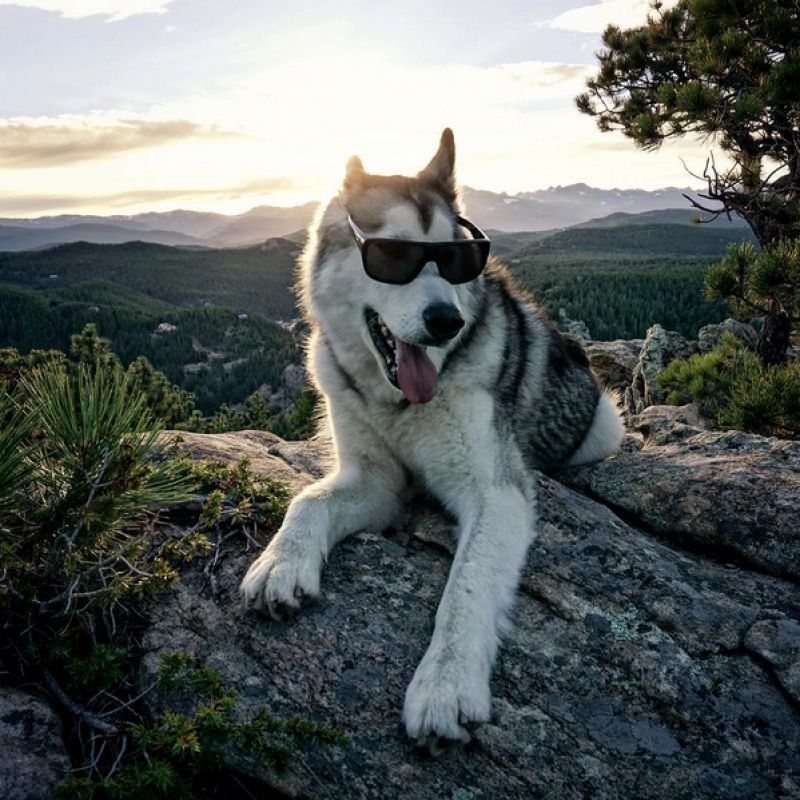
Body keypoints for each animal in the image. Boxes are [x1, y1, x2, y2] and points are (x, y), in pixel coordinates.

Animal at [239, 128, 624, 748]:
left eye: (456, 260)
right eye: (392, 256)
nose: (446, 320)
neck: (397, 402)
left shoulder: (497, 493)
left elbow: (466, 585)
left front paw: (445, 685)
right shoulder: (374, 481)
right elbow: (309, 500)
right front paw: (283, 561)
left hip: (603, 425)